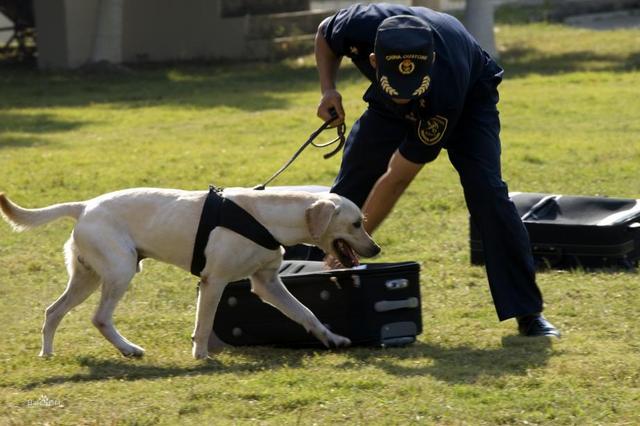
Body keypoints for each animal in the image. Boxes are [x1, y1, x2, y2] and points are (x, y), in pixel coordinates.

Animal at [0, 188, 380, 358]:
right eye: (356, 224)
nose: (376, 249)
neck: (266, 218)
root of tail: (84, 206)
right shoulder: (215, 281)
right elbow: (204, 323)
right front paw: (201, 356)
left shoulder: (267, 283)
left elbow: (307, 313)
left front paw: (333, 339)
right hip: (119, 272)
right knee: (99, 318)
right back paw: (129, 349)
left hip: (87, 278)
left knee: (52, 311)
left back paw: (47, 353)